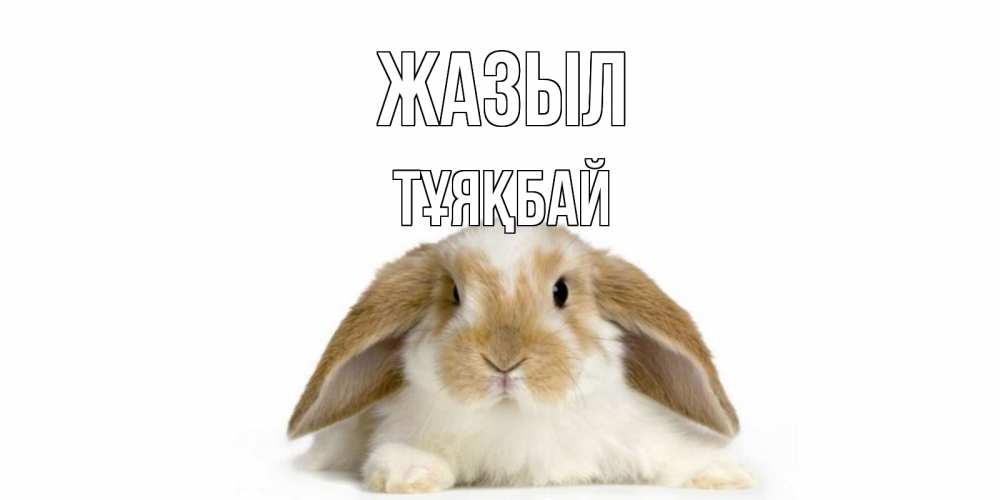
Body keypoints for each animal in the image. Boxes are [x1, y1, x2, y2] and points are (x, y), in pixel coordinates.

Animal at [288, 226, 753, 493]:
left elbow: (671, 452)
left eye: (561, 291)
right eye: (454, 293)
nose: (504, 360)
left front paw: (724, 475)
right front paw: (409, 474)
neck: (514, 416)